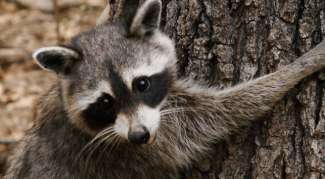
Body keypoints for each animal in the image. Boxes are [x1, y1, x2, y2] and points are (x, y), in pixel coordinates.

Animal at [3, 0, 324, 178]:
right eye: (105, 102)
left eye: (141, 84)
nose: (139, 135)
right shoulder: (148, 145)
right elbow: (222, 113)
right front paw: (298, 67)